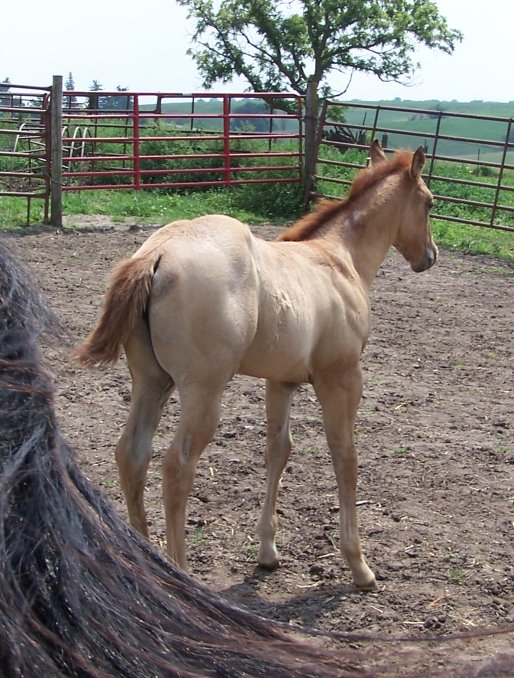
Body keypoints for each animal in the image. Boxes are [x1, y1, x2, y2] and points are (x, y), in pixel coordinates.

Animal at [77, 142, 436, 588]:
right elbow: (345, 457)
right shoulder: (342, 377)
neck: (339, 259)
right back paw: (182, 574)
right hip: (203, 390)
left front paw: (268, 551)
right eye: (429, 203)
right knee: (177, 466)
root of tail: (158, 253)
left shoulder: (281, 382)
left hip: (151, 382)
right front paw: (359, 565)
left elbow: (278, 451)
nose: (430, 256)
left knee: (132, 455)